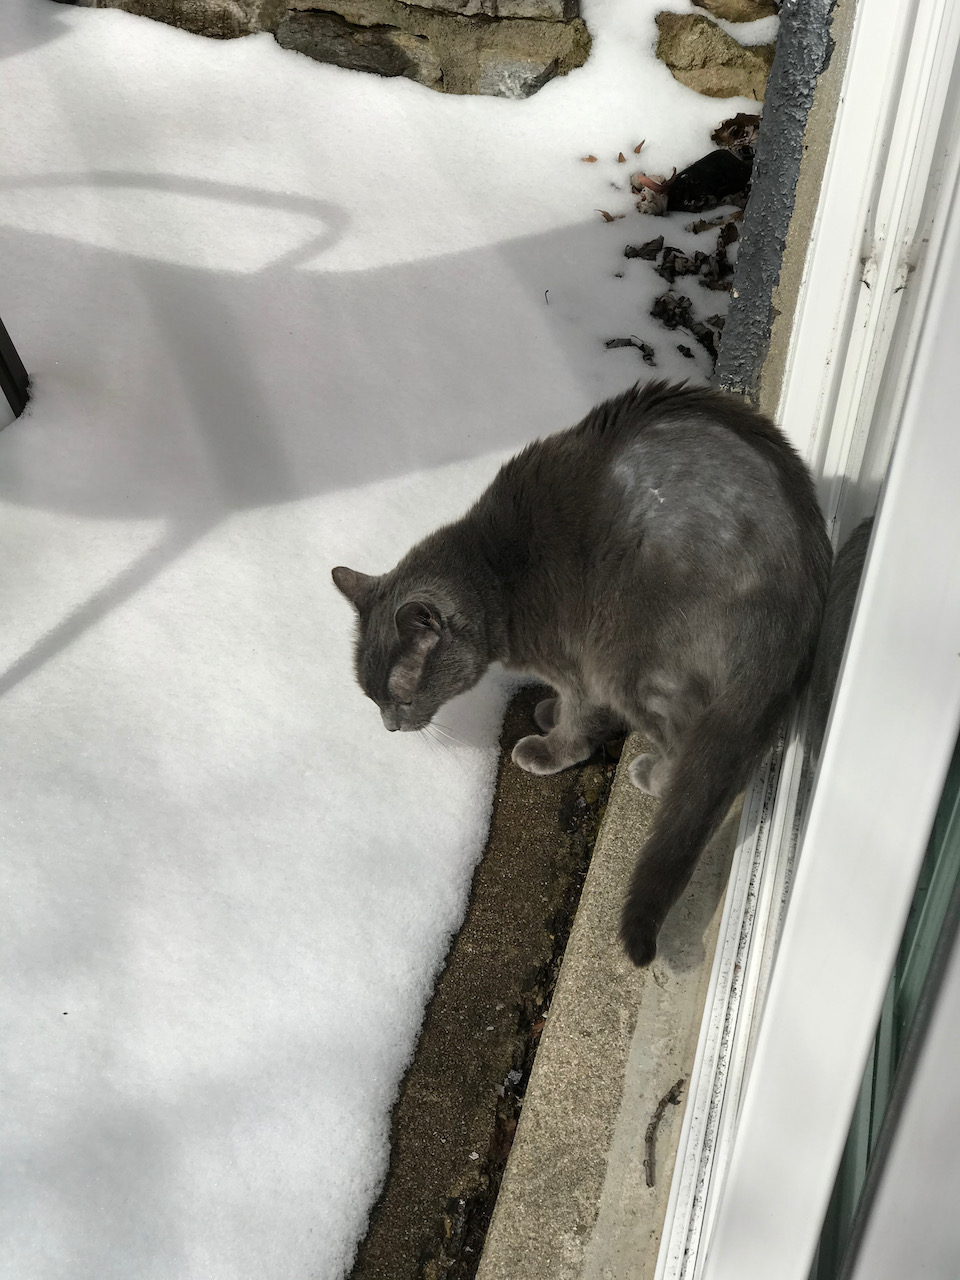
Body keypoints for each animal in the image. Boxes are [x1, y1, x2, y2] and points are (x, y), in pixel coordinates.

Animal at [335, 384, 829, 962]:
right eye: (372, 700)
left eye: (403, 700)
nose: (390, 727)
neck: (497, 578)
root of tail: (802, 579)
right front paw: (548, 712)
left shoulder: (580, 658)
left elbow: (579, 716)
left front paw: (549, 747)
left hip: (627, 653)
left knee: (697, 742)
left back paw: (655, 774)